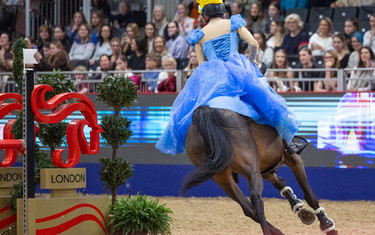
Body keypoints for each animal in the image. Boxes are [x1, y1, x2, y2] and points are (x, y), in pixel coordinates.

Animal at [184, 106, 340, 235]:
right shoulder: (294, 160)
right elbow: (309, 195)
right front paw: (327, 225)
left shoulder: (267, 171)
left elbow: (282, 185)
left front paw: (300, 208)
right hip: (250, 170)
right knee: (256, 200)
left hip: (222, 178)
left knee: (248, 208)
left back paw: (277, 231)